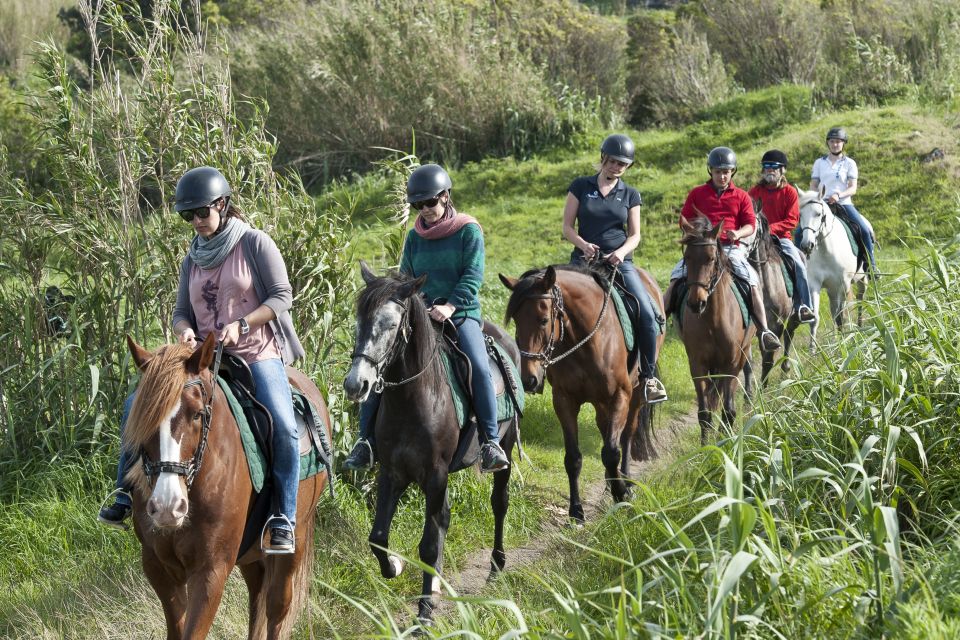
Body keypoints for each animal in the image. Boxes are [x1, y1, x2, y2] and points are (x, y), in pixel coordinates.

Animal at [123, 336, 330, 640]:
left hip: (296, 540)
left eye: (197, 414)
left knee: (276, 609)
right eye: (142, 417)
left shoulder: (211, 570)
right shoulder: (158, 567)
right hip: (251, 556)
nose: (167, 507)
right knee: (257, 598)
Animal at [498, 262, 664, 524]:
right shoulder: (564, 400)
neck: (587, 340)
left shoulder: (619, 396)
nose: (529, 380)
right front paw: (576, 510)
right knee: (605, 430)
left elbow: (612, 451)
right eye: (515, 319)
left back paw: (625, 481)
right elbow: (573, 458)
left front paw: (621, 494)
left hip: (635, 394)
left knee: (627, 435)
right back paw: (610, 482)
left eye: (543, 320)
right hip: (600, 403)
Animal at [676, 218, 756, 442]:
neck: (712, 320)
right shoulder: (698, 365)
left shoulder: (731, 364)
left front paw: (725, 441)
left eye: (711, 258)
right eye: (687, 257)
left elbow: (729, 410)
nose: (696, 303)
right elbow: (704, 412)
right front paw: (705, 446)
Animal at [792, 188, 868, 344]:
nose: (807, 245)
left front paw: (844, 343)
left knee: (860, 300)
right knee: (834, 311)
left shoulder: (844, 285)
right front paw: (814, 348)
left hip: (862, 279)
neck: (827, 251)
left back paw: (860, 328)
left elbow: (841, 317)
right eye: (800, 215)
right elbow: (816, 319)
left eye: (818, 214)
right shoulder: (814, 285)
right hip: (832, 290)